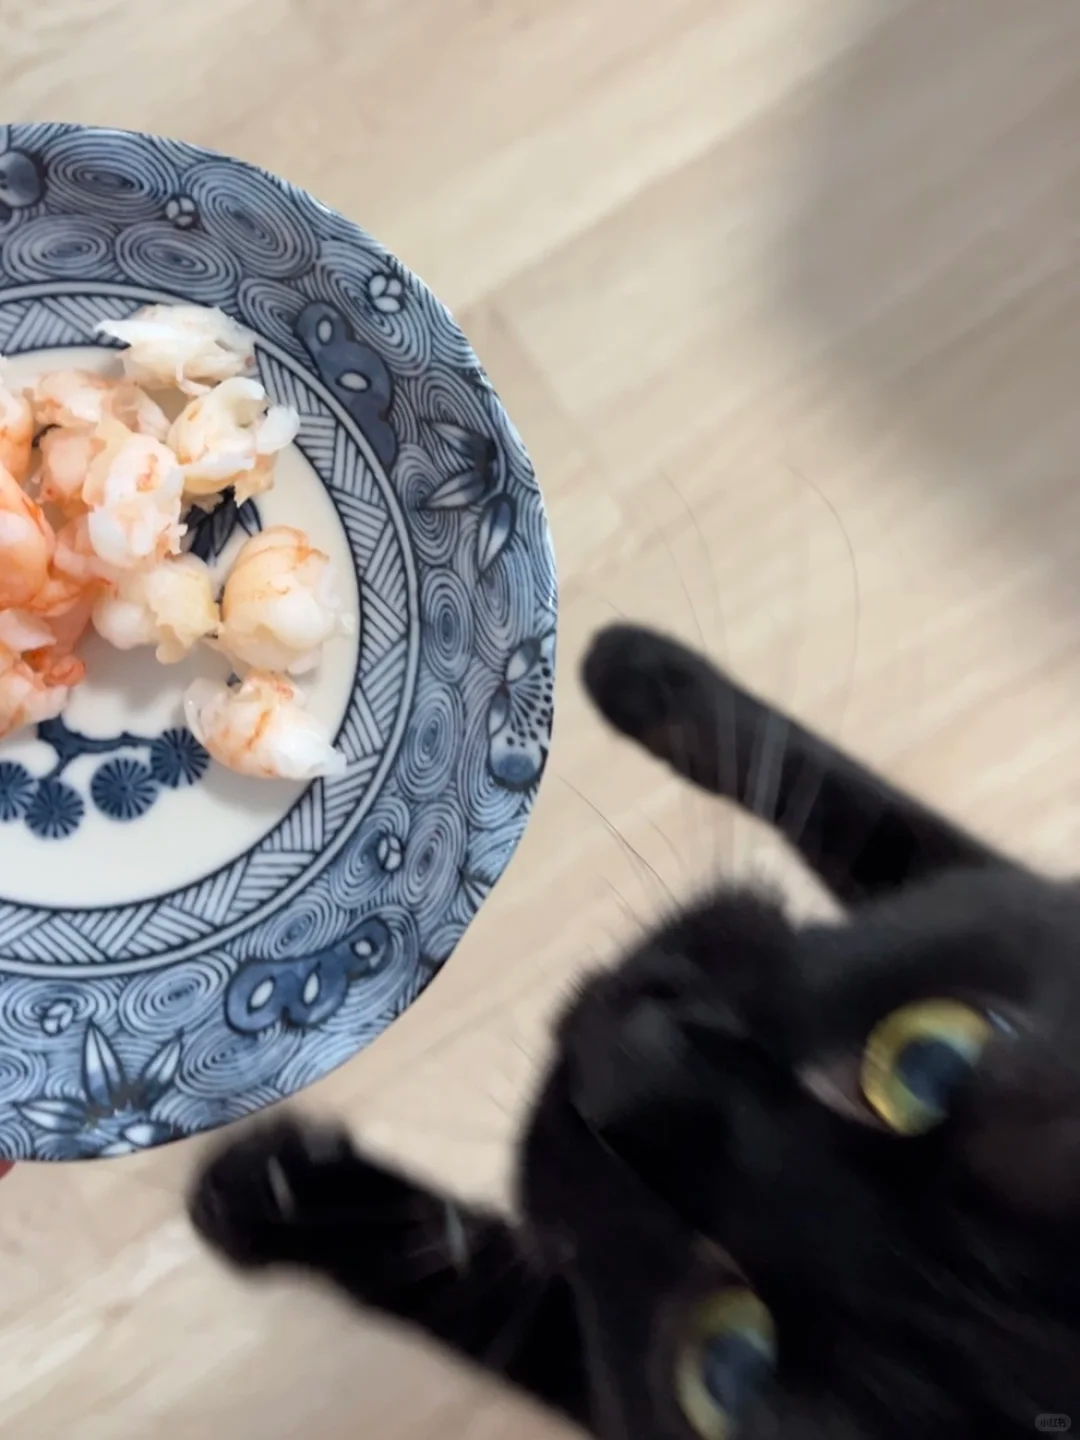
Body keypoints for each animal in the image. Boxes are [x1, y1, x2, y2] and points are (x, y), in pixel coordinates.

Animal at [190, 623, 1080, 1439]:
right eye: (928, 1063)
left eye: (724, 1373)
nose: (636, 1052)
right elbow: (876, 816)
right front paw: (640, 670)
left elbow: (495, 1294)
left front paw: (273, 1199)